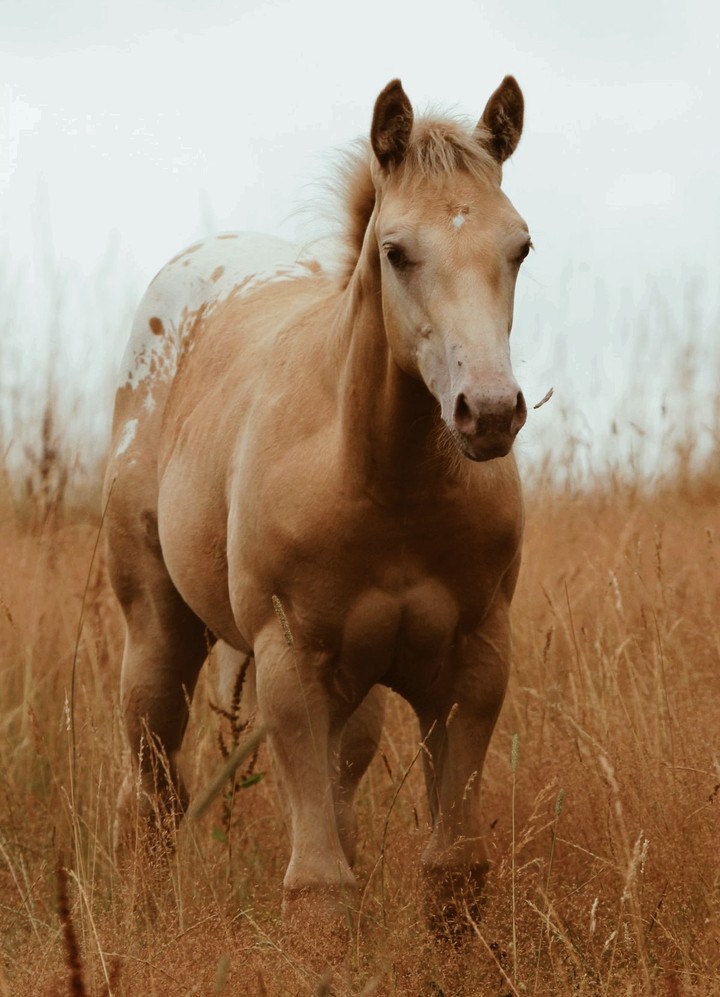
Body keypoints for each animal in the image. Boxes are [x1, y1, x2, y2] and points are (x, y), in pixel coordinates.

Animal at [103, 75, 531, 943]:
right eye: (396, 251)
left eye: (520, 247)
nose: (489, 412)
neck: (385, 486)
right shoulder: (291, 662)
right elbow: (317, 883)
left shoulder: (474, 662)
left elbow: (453, 867)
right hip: (158, 628)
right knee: (153, 789)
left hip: (357, 689)